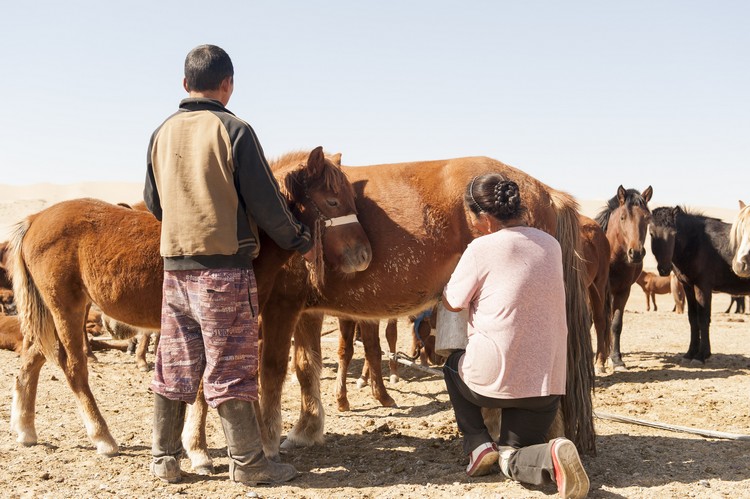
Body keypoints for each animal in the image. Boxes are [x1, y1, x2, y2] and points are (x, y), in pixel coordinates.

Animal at [5, 147, 370, 458]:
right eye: (333, 201)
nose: (364, 255)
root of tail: (36, 218)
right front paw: (199, 449)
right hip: (66, 309)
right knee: (73, 367)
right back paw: (103, 438)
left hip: (57, 312)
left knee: (32, 359)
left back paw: (25, 429)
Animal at [254, 154, 600, 458]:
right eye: (333, 201)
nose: (362, 254)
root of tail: (545, 191)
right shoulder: (306, 311)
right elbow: (305, 366)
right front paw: (306, 430)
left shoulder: (279, 306)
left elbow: (271, 370)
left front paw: (268, 441)